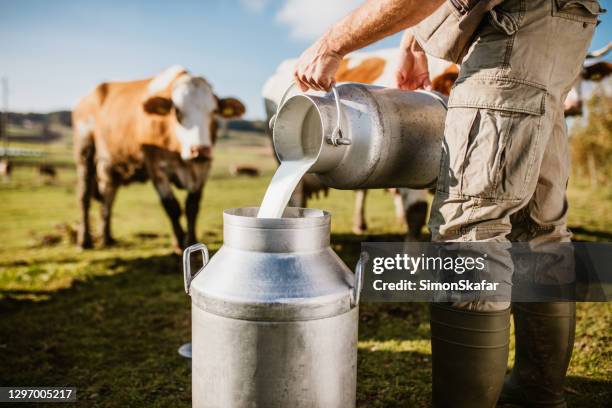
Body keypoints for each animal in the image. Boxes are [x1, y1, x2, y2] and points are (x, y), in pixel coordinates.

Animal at [71, 65, 244, 252]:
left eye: (213, 112)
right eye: (177, 111)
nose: (199, 150)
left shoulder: (203, 168)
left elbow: (192, 206)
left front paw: (191, 240)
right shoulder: (155, 167)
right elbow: (172, 206)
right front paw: (179, 243)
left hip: (110, 167)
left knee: (108, 198)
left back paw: (107, 237)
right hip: (85, 151)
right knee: (84, 197)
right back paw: (84, 241)